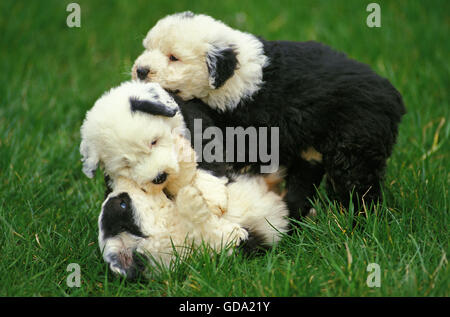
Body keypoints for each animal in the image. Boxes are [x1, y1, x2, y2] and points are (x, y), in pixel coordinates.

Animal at [133, 12, 408, 220]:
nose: (141, 70)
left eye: (174, 57)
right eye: (147, 48)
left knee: (359, 188)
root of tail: (394, 98)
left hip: (355, 147)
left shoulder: (247, 129)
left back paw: (358, 222)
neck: (232, 74)